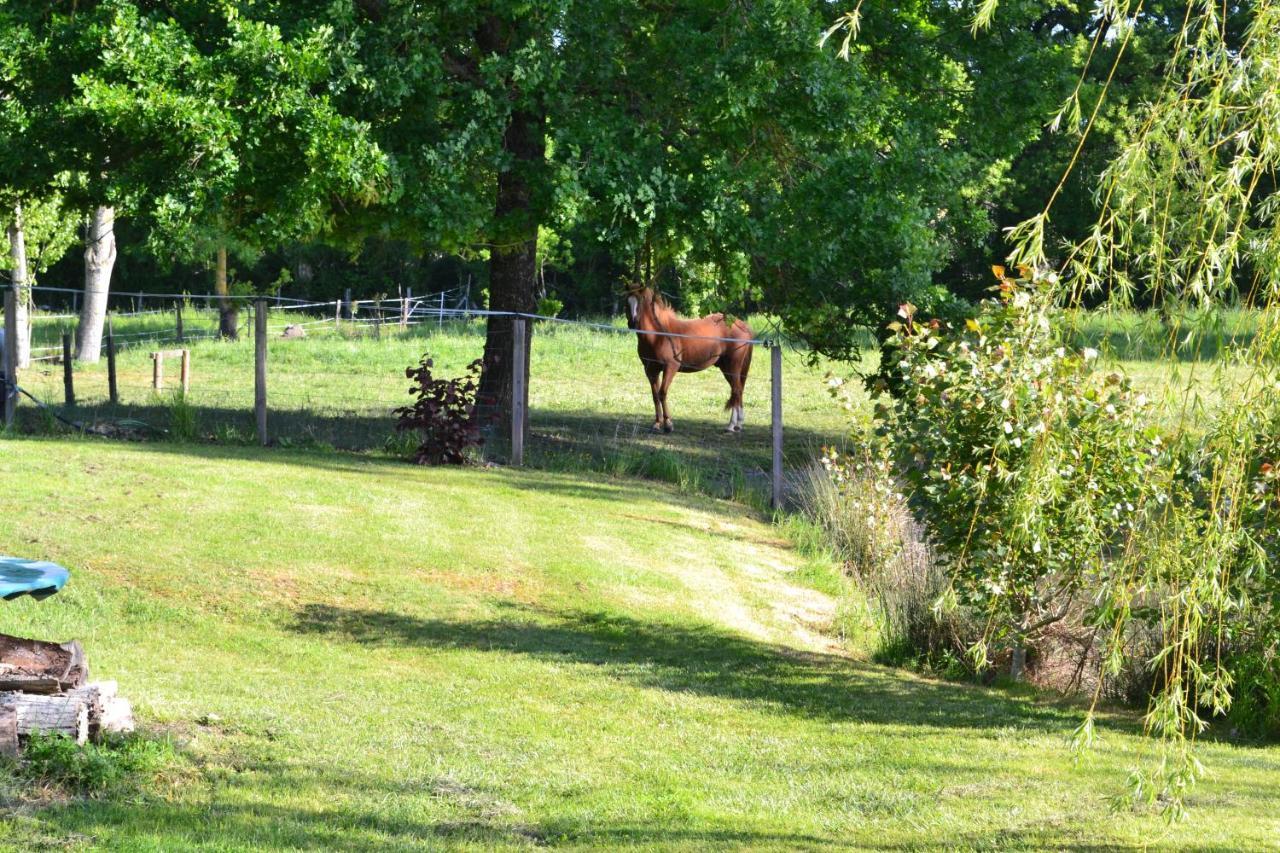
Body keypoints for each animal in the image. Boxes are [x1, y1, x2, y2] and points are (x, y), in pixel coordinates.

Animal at [627, 286, 752, 432]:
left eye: (641, 300)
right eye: (626, 301)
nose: (632, 322)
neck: (658, 336)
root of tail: (741, 324)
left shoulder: (670, 367)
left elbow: (662, 393)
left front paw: (668, 424)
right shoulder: (651, 370)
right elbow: (655, 396)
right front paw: (657, 424)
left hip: (733, 366)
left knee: (736, 390)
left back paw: (731, 426)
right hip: (726, 368)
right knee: (738, 390)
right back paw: (738, 424)